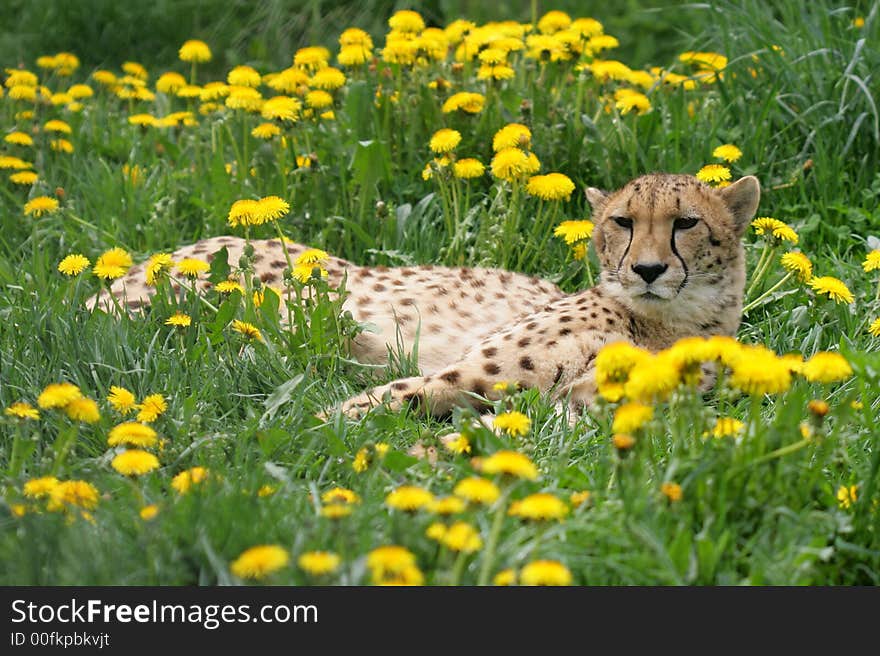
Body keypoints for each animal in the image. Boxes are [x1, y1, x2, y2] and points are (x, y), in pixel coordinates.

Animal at [91, 174, 764, 418]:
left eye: (686, 224)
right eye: (623, 222)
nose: (648, 270)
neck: (664, 322)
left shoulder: (579, 405)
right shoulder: (470, 372)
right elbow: (373, 403)